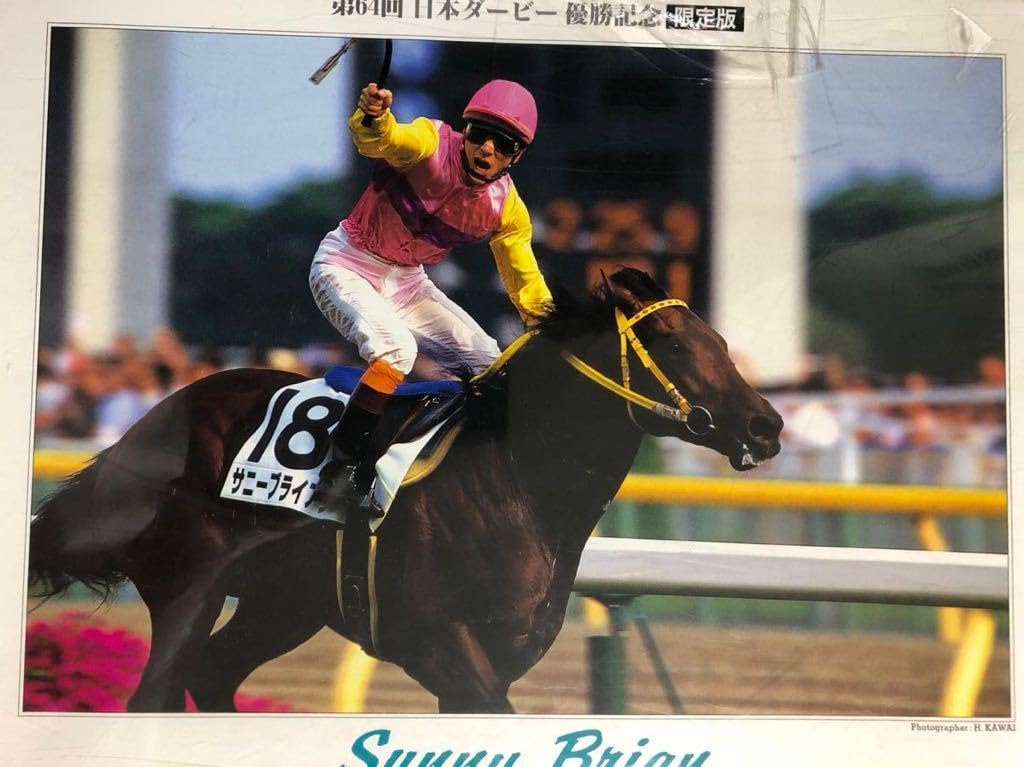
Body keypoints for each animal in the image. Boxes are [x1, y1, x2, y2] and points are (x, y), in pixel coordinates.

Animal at [27, 268, 782, 713]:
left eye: (719, 340)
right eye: (672, 340)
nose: (766, 423)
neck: (513, 481)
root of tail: (146, 424)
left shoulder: (497, 661)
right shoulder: (437, 644)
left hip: (283, 602)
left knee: (213, 674)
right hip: (191, 586)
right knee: (157, 693)